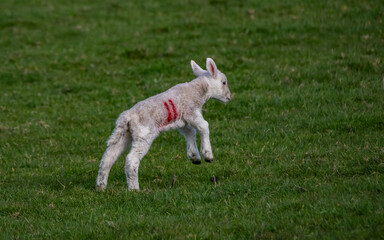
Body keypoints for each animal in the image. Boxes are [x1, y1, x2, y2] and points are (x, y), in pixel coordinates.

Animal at [95, 58, 231, 191]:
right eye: (224, 82)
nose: (229, 97)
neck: (197, 90)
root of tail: (126, 117)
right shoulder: (191, 111)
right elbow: (204, 126)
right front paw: (208, 155)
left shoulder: (183, 121)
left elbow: (190, 133)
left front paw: (194, 157)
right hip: (144, 134)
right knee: (131, 160)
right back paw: (134, 189)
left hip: (125, 134)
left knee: (108, 157)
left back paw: (101, 186)